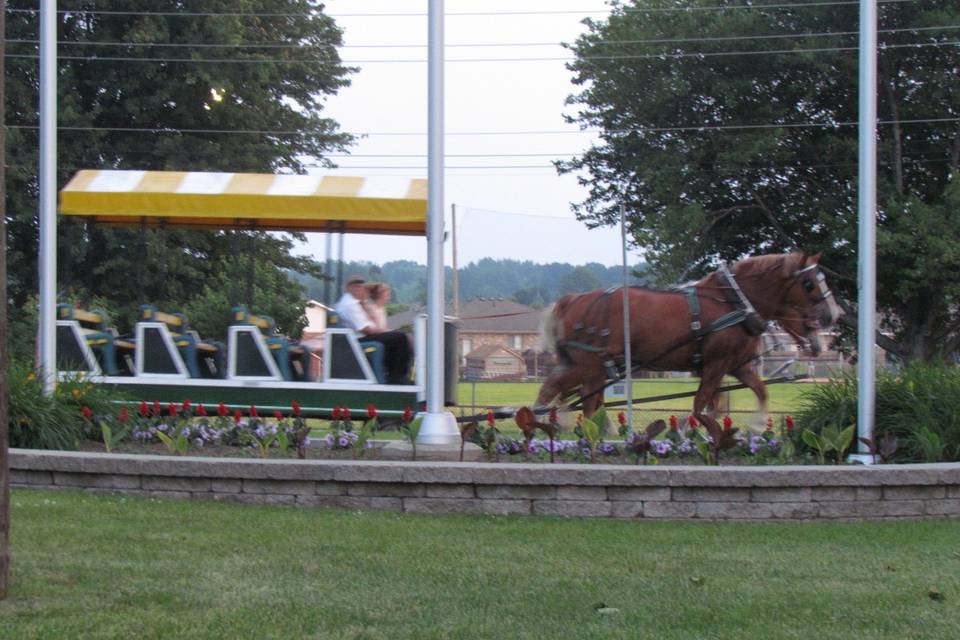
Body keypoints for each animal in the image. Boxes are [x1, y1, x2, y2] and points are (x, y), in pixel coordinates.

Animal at [536, 251, 844, 424]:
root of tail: (572, 300)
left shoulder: (734, 365)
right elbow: (701, 406)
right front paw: (688, 430)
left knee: (580, 400)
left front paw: (756, 426)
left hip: (594, 368)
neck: (733, 302)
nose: (833, 315)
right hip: (589, 365)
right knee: (553, 393)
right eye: (809, 283)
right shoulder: (716, 364)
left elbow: (755, 393)